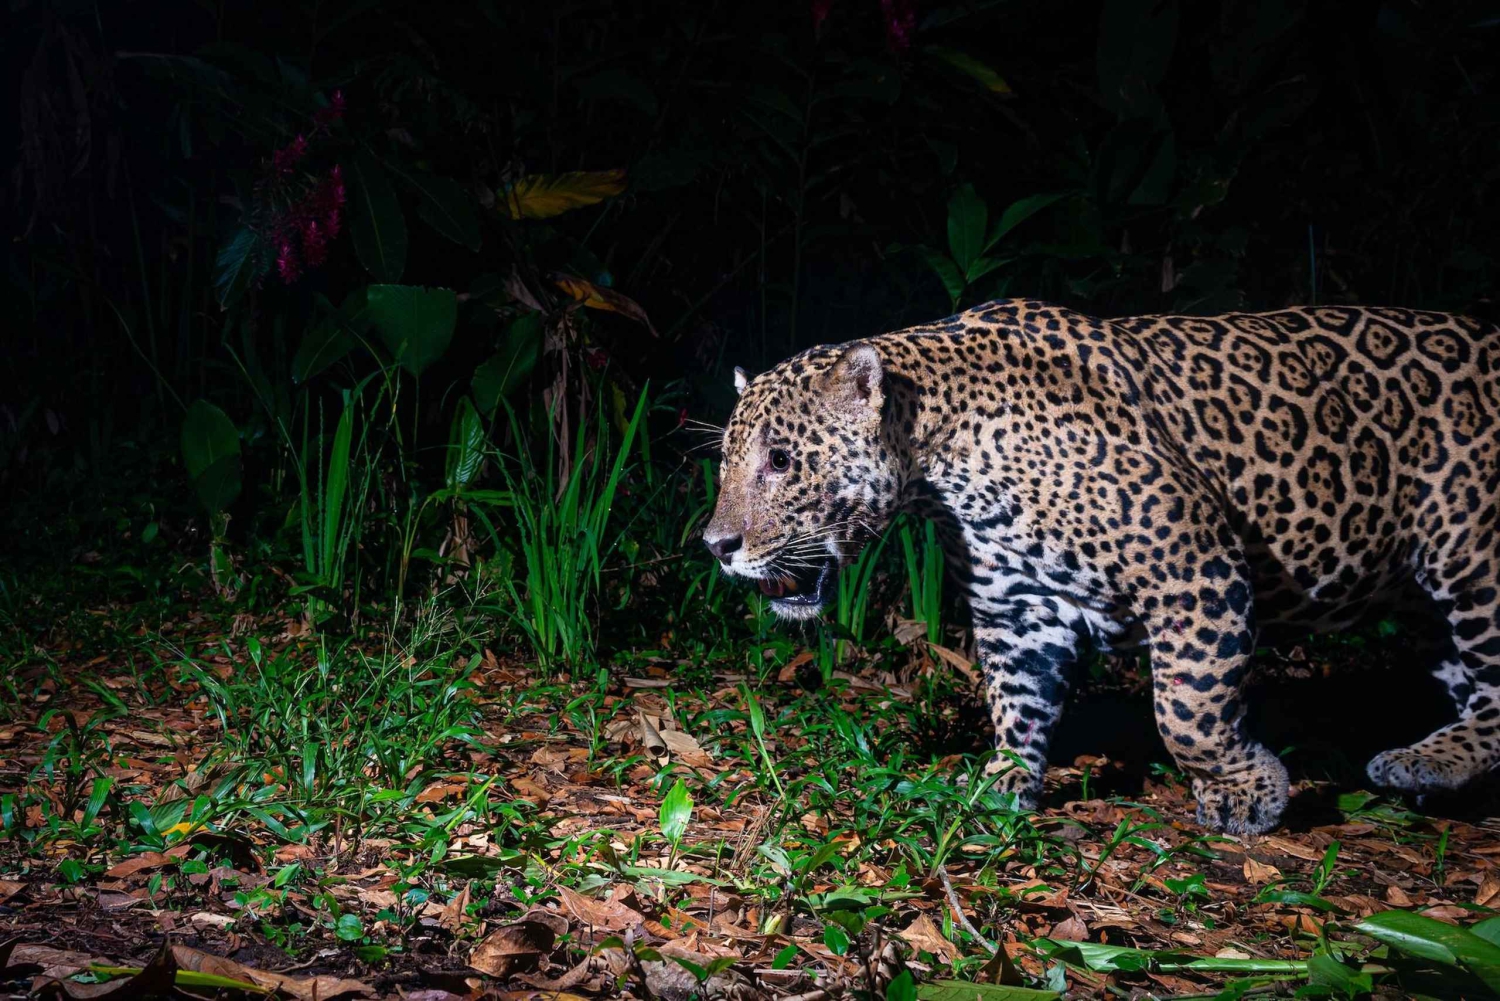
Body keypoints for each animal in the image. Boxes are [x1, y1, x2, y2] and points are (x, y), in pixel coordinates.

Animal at [702, 298, 1500, 835]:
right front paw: (1003, 784)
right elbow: (1015, 702)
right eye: (725, 462)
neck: (944, 460)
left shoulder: (1195, 572)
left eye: (781, 460)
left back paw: (1422, 762)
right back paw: (1436, 766)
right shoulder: (1019, 609)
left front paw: (1247, 793)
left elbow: (1187, 711)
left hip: (1472, 556)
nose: (716, 544)